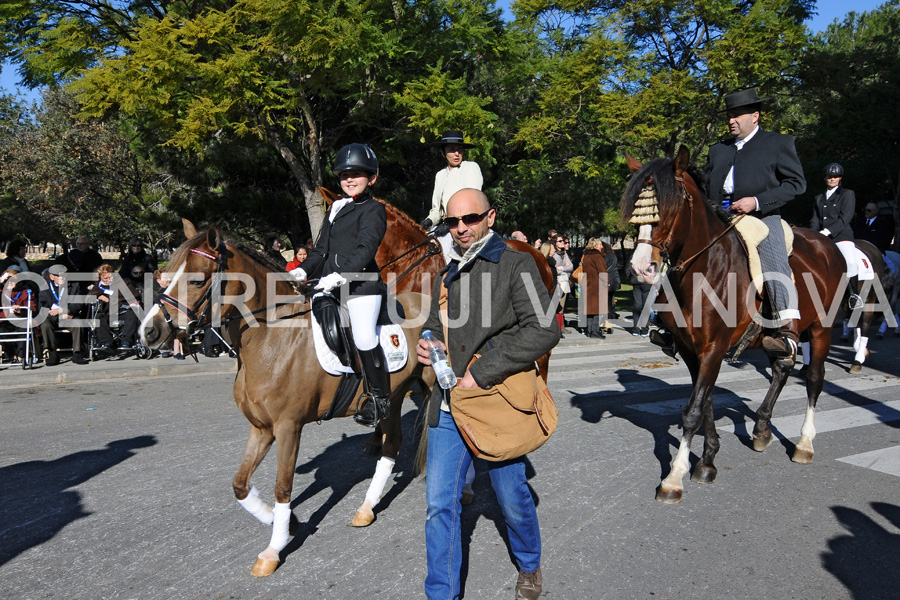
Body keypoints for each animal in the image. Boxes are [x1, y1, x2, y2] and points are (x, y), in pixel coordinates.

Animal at [141, 219, 436, 576]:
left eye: (197, 279)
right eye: (166, 275)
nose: (149, 332)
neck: (271, 337)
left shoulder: (288, 427)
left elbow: (282, 486)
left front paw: (273, 550)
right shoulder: (261, 428)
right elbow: (240, 485)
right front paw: (288, 523)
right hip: (393, 397)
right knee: (391, 443)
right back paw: (366, 508)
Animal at [624, 148, 848, 504]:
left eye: (671, 206)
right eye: (635, 210)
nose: (640, 268)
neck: (705, 270)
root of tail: (827, 247)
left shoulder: (714, 347)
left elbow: (693, 410)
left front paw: (674, 478)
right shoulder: (693, 350)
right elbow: (705, 403)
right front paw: (706, 462)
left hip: (821, 329)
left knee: (814, 379)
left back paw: (804, 443)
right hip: (778, 336)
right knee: (782, 367)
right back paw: (761, 429)